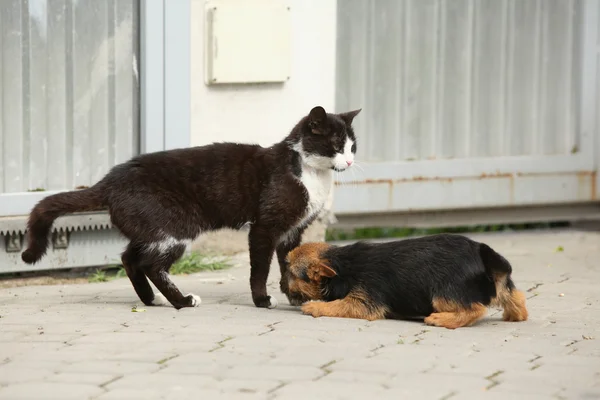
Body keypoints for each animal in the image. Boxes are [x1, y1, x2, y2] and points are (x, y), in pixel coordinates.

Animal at [21, 104, 360, 308]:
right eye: (335, 146)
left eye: (353, 146)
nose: (350, 161)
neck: (310, 173)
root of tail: (109, 180)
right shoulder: (265, 226)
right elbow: (261, 267)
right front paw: (262, 300)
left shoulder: (293, 231)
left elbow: (289, 263)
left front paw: (294, 296)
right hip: (175, 227)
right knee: (150, 264)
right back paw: (182, 301)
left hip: (148, 227)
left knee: (129, 257)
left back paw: (150, 299)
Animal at [284, 233, 528, 330]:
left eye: (289, 272)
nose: (280, 284)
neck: (341, 265)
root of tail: (481, 253)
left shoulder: (364, 301)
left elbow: (337, 305)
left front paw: (315, 306)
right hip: (500, 282)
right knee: (515, 295)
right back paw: (515, 315)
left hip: (443, 294)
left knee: (474, 309)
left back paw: (441, 320)